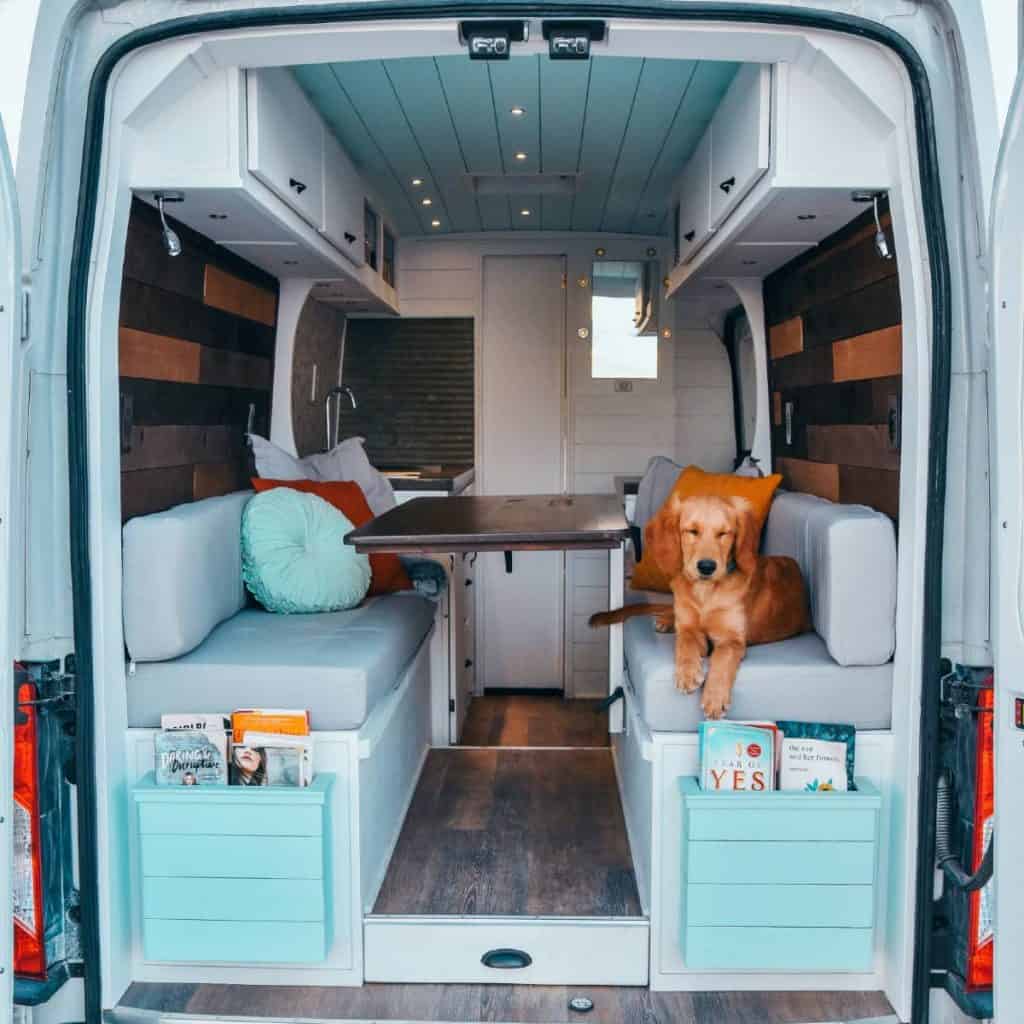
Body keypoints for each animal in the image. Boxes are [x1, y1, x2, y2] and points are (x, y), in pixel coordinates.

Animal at [593, 491, 806, 716]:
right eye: (692, 531)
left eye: (724, 533)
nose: (706, 567)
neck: (705, 593)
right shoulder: (689, 627)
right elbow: (685, 641)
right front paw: (686, 673)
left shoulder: (732, 640)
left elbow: (722, 657)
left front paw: (715, 698)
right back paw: (666, 621)